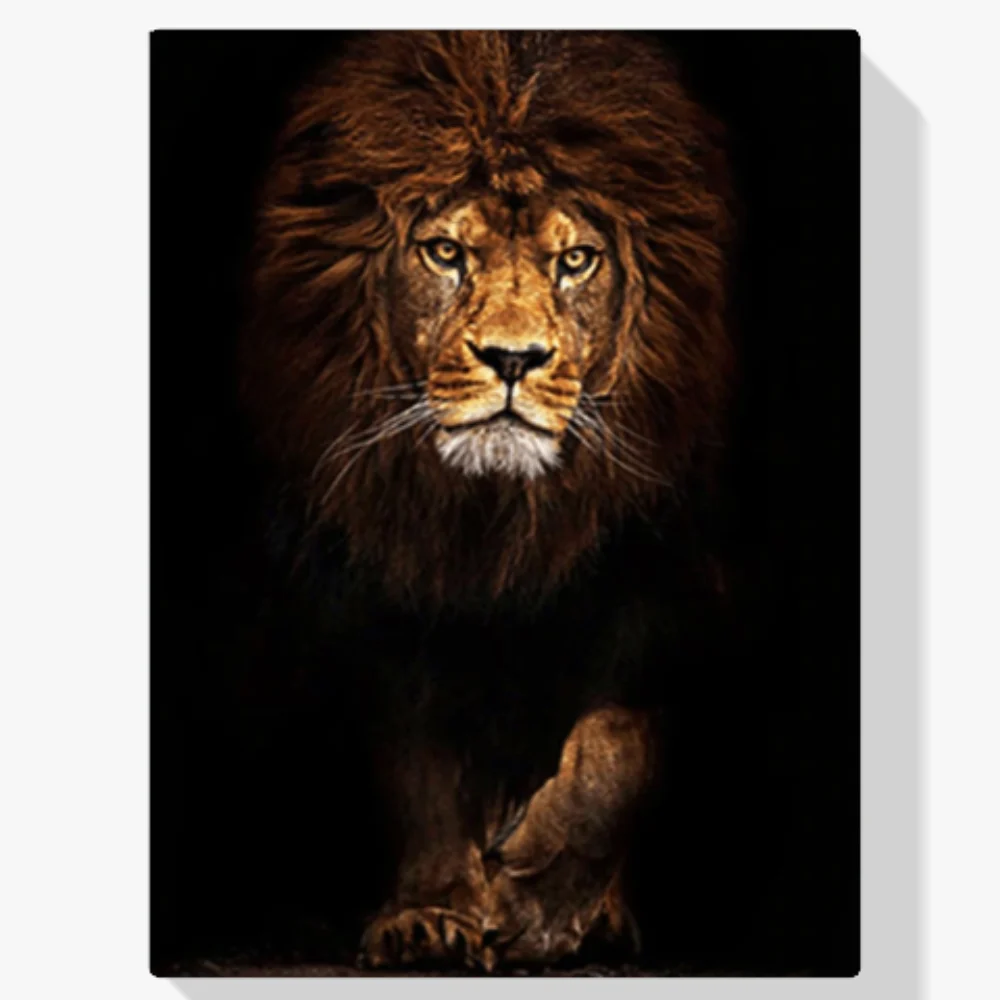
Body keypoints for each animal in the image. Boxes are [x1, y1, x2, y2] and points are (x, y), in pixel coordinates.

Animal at [241, 30, 732, 971]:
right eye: (445, 252)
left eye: (575, 261)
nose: (512, 359)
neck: (500, 523)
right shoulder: (386, 591)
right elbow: (421, 763)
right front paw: (432, 914)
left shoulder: (677, 581)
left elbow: (617, 742)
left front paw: (540, 902)